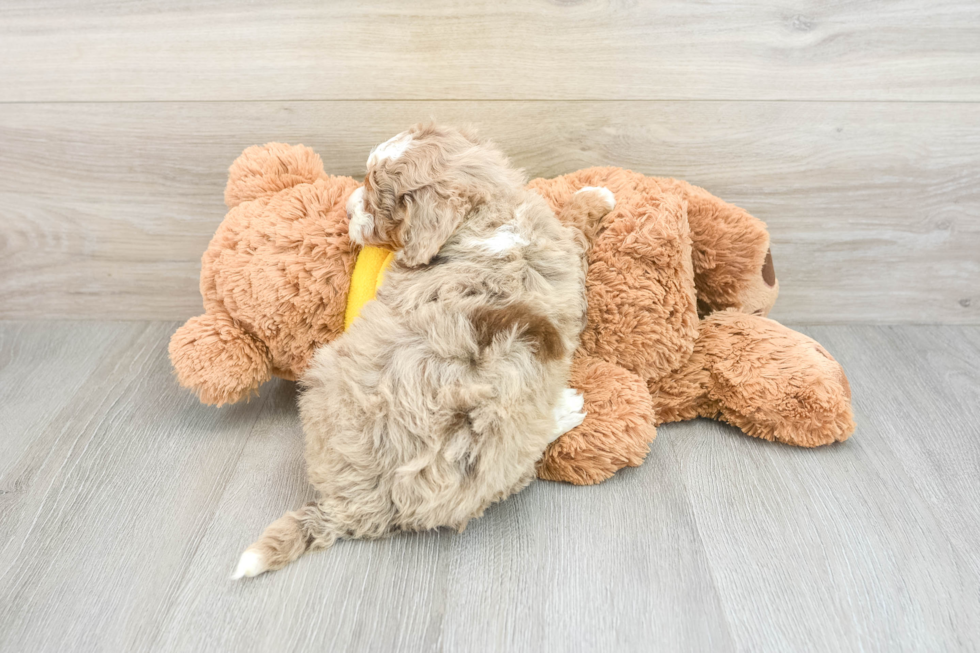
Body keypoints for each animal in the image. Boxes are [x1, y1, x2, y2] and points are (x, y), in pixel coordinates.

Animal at [233, 122, 612, 576]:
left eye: (377, 199)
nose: (345, 210)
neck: (485, 215)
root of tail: (352, 503)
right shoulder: (560, 253)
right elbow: (571, 225)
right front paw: (596, 195)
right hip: (500, 427)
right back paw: (566, 410)